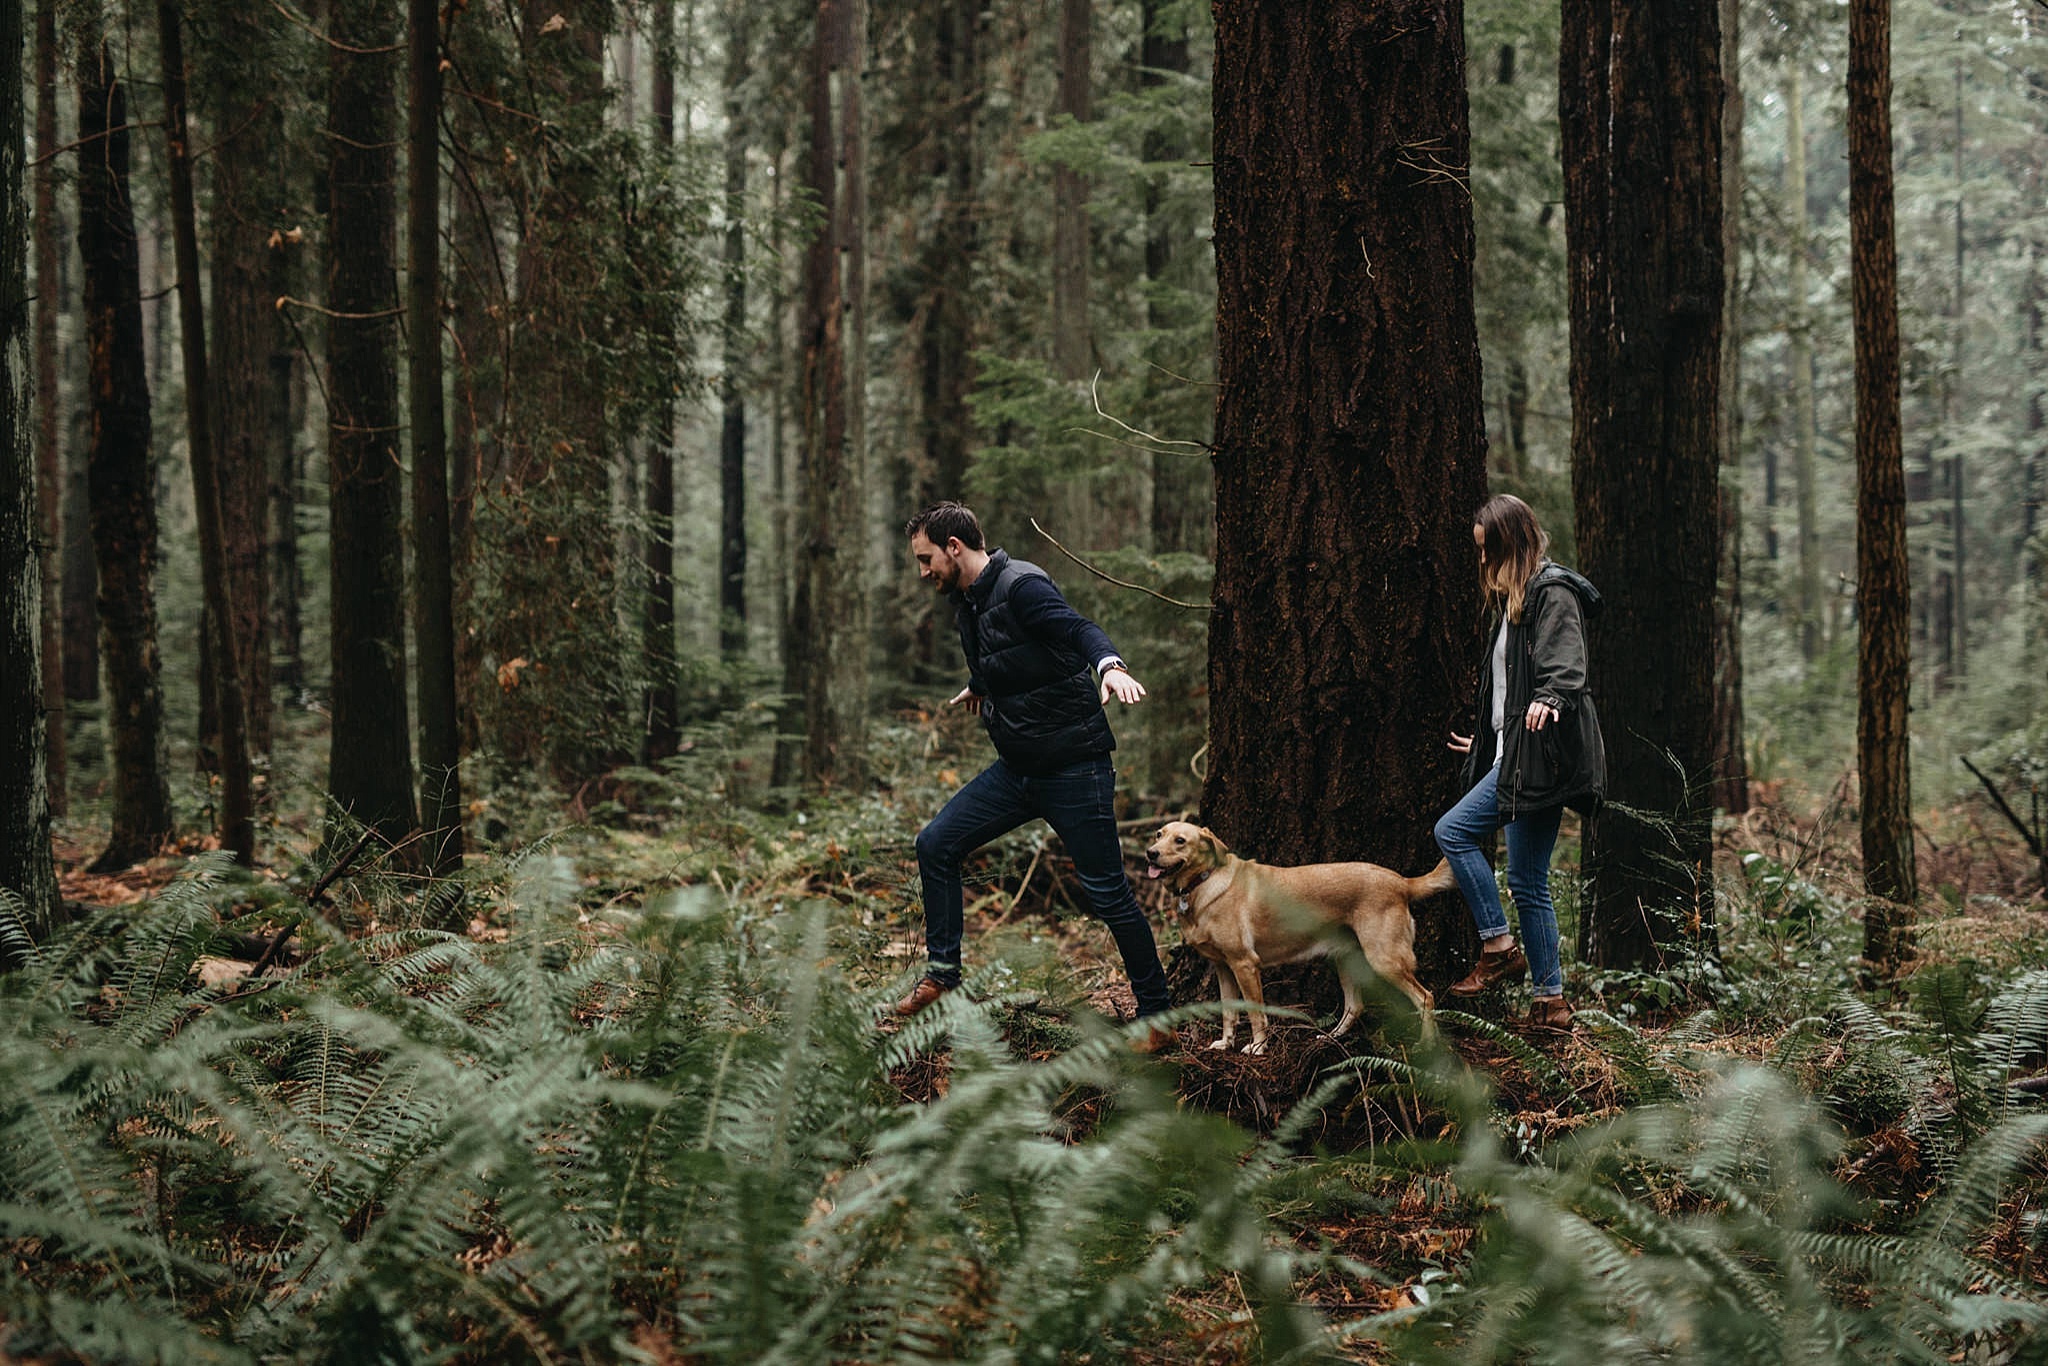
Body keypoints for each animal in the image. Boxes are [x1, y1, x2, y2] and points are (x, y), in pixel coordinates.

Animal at [1138, 823, 1458, 1056]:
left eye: (1180, 841)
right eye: (1159, 834)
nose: (1150, 853)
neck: (1203, 882)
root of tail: (1402, 882)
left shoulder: (1245, 964)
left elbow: (1255, 1013)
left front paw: (1258, 1047)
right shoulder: (1223, 967)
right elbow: (1229, 1012)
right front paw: (1226, 1043)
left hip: (1384, 960)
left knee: (1425, 997)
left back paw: (1427, 1046)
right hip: (1345, 960)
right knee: (1355, 1006)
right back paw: (1330, 1038)